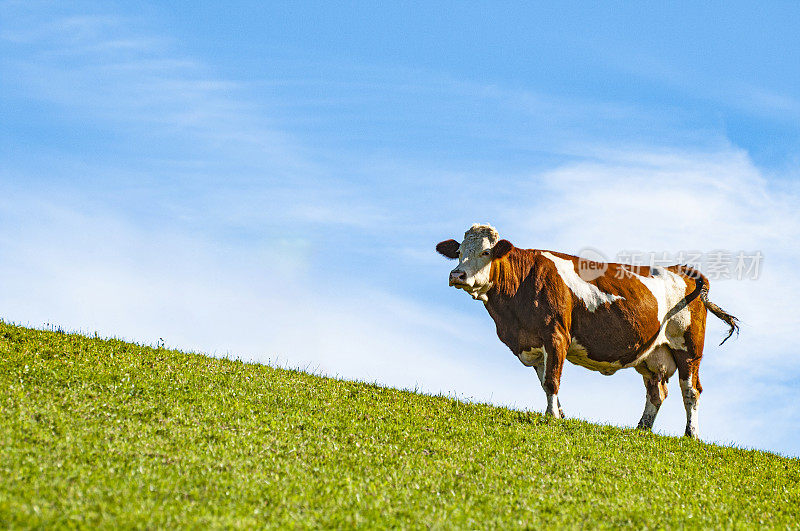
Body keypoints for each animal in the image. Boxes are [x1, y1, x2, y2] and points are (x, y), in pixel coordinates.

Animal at [438, 222, 736, 438]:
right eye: (459, 252)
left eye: (485, 252)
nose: (457, 275)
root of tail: (685, 271)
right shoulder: (532, 343)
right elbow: (545, 381)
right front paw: (559, 414)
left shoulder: (556, 334)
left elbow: (552, 380)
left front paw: (552, 417)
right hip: (653, 356)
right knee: (657, 393)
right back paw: (641, 430)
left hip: (689, 349)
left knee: (691, 391)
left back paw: (691, 435)